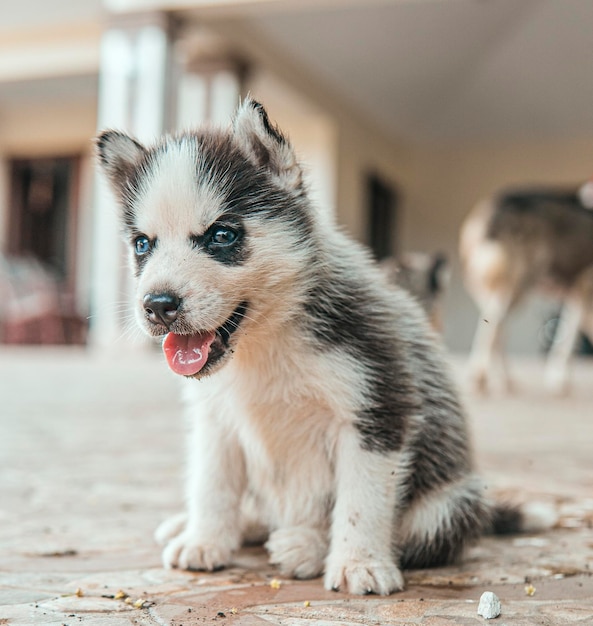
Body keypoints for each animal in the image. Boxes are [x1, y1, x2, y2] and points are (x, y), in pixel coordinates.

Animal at [96, 100, 552, 592]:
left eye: (222, 235)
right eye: (143, 244)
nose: (157, 305)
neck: (265, 342)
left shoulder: (378, 405)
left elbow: (362, 500)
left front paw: (359, 563)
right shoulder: (215, 419)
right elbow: (212, 483)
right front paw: (205, 539)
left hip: (449, 504)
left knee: (413, 536)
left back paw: (306, 546)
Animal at [460, 180, 592, 392]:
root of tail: (497, 203)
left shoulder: (577, 296)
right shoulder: (584, 289)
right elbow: (568, 342)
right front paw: (561, 381)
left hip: (497, 288)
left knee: (495, 328)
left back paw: (505, 379)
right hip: (519, 285)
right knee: (495, 328)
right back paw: (481, 379)